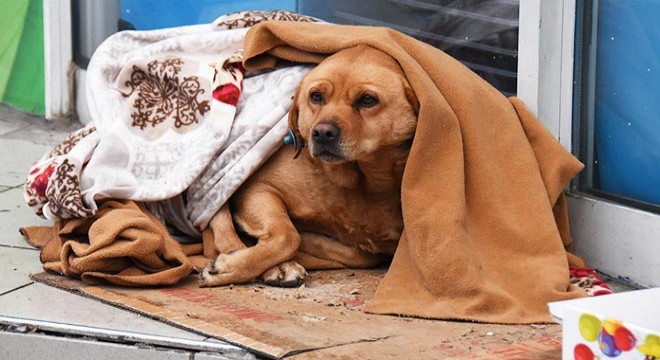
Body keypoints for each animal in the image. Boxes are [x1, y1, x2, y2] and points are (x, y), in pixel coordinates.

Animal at [199, 44, 420, 286]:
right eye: (316, 96)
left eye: (368, 99)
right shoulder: (256, 188)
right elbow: (288, 236)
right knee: (221, 231)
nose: (322, 133)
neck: (360, 183)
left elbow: (358, 251)